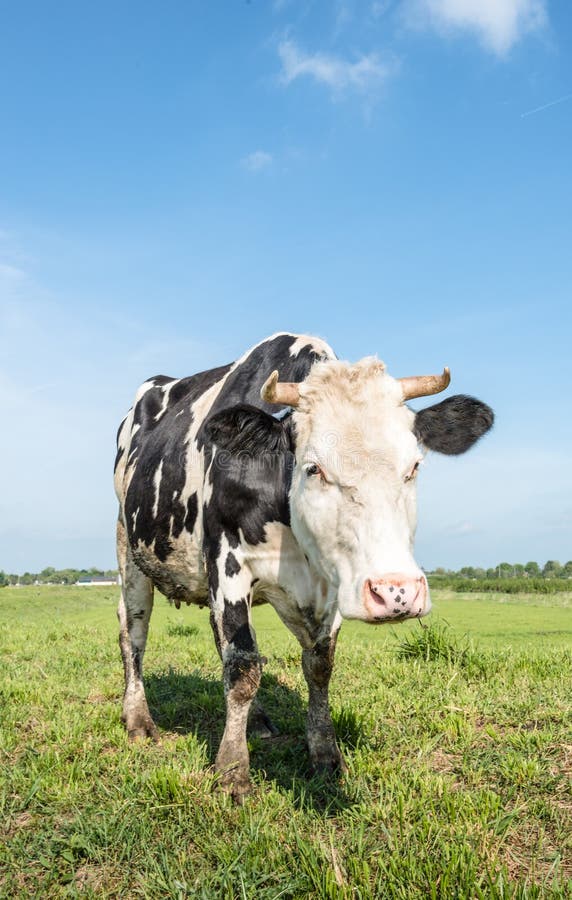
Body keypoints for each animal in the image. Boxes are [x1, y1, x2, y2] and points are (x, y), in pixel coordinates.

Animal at [114, 334, 494, 800]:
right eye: (314, 468)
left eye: (414, 467)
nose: (396, 592)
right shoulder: (228, 562)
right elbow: (242, 668)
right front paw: (232, 770)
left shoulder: (334, 584)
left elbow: (316, 665)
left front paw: (325, 754)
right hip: (129, 549)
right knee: (134, 632)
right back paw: (138, 719)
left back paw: (257, 721)